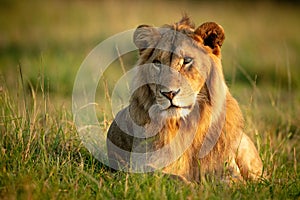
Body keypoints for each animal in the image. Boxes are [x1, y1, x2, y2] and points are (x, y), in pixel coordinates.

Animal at [106, 16, 264, 182]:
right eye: (157, 63)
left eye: (187, 60)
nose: (169, 93)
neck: (189, 123)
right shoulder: (141, 167)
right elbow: (175, 179)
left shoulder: (226, 166)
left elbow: (232, 181)